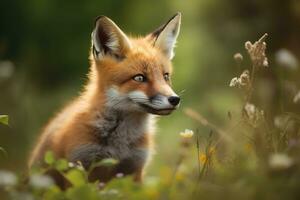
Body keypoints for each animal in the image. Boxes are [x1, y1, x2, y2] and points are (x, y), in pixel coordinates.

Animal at [28, 12, 182, 188]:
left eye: (166, 76)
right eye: (139, 78)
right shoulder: (78, 168)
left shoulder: (134, 169)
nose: (175, 99)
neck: (120, 143)